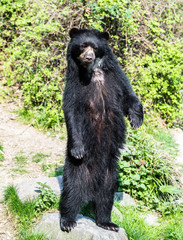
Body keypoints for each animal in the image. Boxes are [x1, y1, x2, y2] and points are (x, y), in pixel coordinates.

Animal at [60, 28, 143, 232]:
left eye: (95, 47)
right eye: (83, 46)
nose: (89, 57)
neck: (93, 72)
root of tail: (91, 189)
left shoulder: (116, 77)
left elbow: (129, 96)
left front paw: (136, 120)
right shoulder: (74, 84)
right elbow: (71, 111)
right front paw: (77, 149)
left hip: (110, 174)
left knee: (106, 197)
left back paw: (107, 222)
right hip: (78, 169)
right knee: (71, 190)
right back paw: (67, 221)